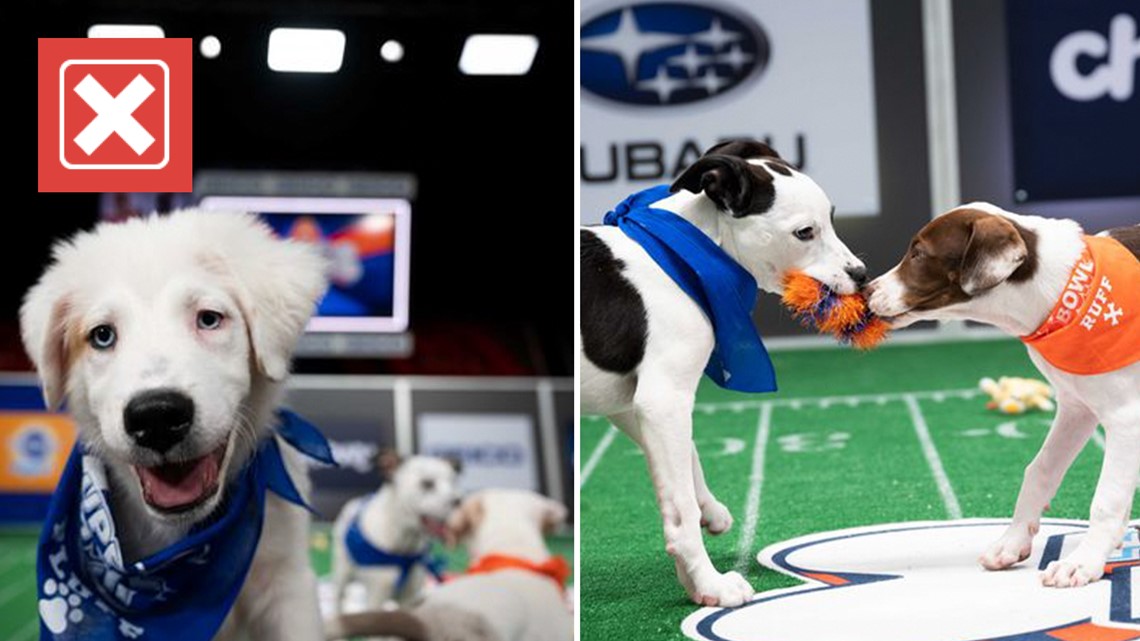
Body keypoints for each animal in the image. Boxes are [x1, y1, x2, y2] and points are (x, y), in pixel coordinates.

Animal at [328, 449, 460, 606]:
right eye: (427, 483)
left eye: (453, 482)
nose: (458, 500)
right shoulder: (376, 596)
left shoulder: (410, 598)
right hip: (342, 573)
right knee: (338, 597)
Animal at [861, 201, 1140, 588]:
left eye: (918, 253)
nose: (865, 292)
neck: (1063, 291)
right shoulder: (1076, 407)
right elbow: (1039, 471)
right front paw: (1013, 542)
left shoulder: (1126, 416)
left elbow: (1107, 498)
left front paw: (1084, 561)